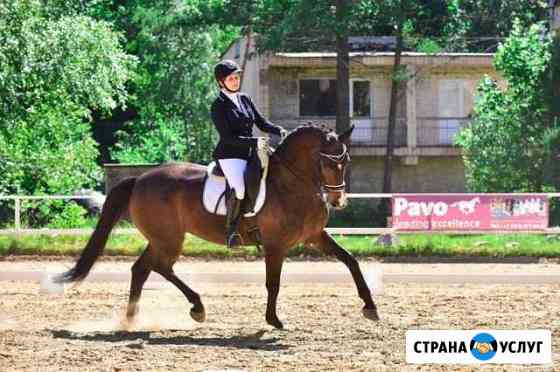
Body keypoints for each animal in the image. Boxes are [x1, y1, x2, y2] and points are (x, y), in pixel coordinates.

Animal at [57, 124, 378, 328]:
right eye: (328, 163)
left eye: (346, 161)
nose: (338, 201)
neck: (293, 183)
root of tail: (140, 179)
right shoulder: (275, 245)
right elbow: (272, 282)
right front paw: (274, 320)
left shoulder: (314, 236)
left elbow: (351, 261)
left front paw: (370, 308)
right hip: (170, 239)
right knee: (160, 267)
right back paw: (196, 307)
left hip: (162, 238)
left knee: (142, 269)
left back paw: (131, 319)